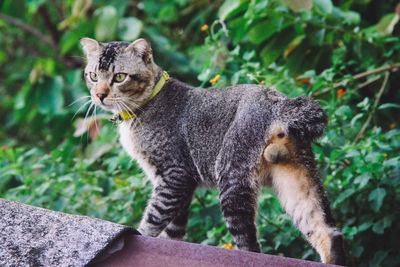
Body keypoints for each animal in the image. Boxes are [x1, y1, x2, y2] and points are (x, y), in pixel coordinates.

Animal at [80, 37, 344, 266]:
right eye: (93, 75)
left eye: (119, 77)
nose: (99, 95)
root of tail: (278, 101)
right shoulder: (181, 188)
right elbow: (174, 230)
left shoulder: (174, 175)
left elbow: (153, 219)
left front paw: (140, 234)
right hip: (296, 180)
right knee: (328, 231)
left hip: (232, 177)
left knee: (251, 246)